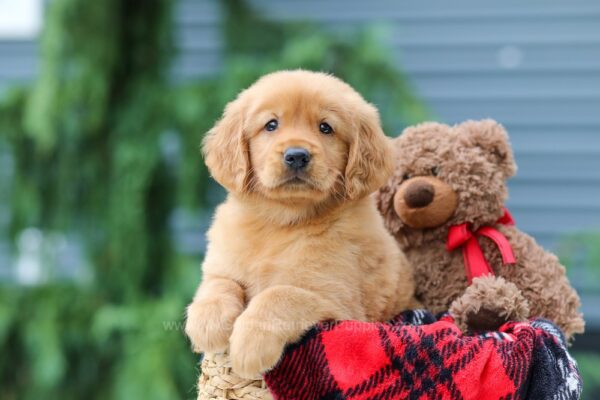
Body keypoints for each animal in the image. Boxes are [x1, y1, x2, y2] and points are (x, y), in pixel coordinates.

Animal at [185, 69, 414, 378]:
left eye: (325, 128)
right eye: (271, 125)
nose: (296, 155)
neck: (281, 223)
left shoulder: (337, 301)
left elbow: (280, 294)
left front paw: (249, 345)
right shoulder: (222, 264)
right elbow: (217, 284)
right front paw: (207, 321)